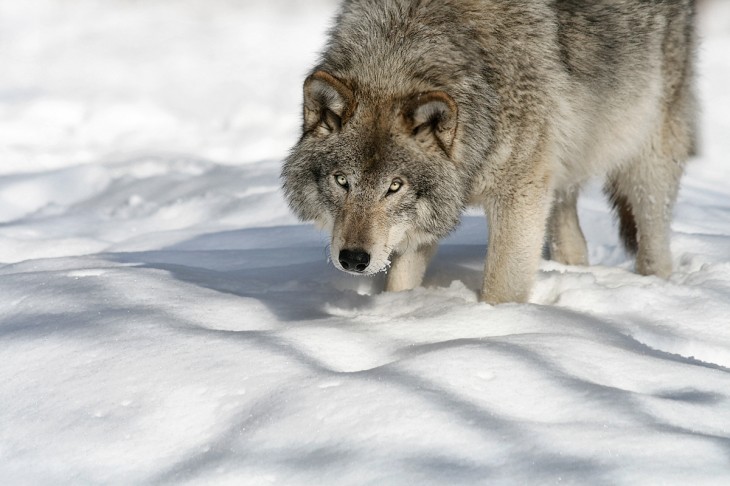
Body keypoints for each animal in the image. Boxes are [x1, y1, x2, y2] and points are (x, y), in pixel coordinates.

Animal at [278, 0, 692, 304]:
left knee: (654, 238)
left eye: (394, 186)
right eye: (341, 180)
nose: (353, 259)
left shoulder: (519, 194)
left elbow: (500, 288)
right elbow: (401, 279)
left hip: (647, 154)